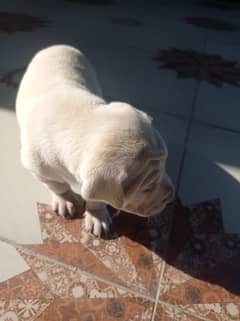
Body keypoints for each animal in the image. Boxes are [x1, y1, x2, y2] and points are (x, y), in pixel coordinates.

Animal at [16, 44, 174, 235]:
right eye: (147, 188)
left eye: (165, 167)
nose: (171, 197)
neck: (81, 122)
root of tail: (58, 45)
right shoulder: (38, 168)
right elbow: (57, 184)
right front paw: (65, 199)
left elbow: (97, 197)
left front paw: (96, 215)